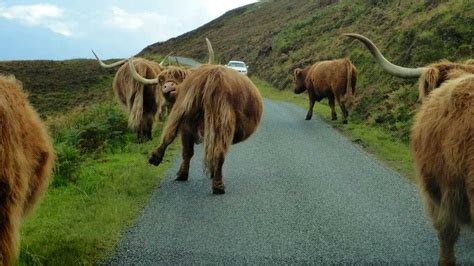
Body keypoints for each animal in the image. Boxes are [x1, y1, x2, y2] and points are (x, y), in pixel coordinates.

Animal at [130, 38, 262, 194]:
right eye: (161, 80)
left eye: (179, 76)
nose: (168, 86)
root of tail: (214, 76)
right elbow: (194, 151)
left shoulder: (186, 125)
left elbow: (187, 150)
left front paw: (182, 174)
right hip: (221, 121)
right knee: (218, 150)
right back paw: (218, 185)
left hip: (190, 112)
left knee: (173, 135)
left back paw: (156, 158)